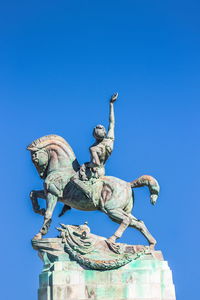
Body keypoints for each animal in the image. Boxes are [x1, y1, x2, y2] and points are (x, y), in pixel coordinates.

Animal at [27, 135, 160, 247]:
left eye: (35, 158)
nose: (41, 175)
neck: (62, 168)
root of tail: (128, 184)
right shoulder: (51, 194)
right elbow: (32, 193)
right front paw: (39, 210)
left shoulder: (52, 194)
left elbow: (48, 214)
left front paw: (40, 234)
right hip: (118, 212)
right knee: (139, 223)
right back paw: (151, 246)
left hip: (111, 209)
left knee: (127, 220)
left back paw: (111, 239)